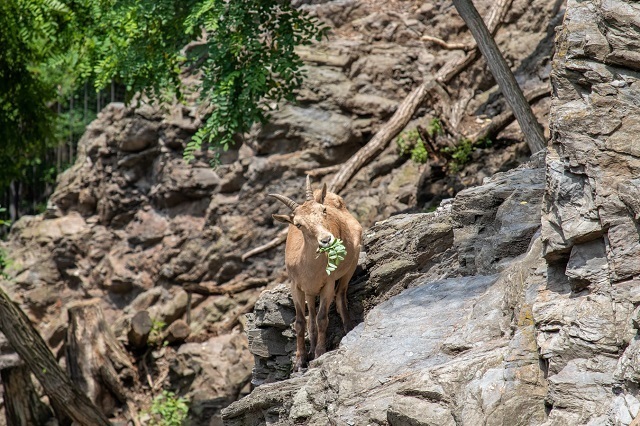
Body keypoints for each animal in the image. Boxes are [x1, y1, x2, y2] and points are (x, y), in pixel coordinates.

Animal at [268, 176, 362, 370]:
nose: (326, 240)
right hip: (310, 292)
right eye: (298, 224)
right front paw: (300, 361)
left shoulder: (328, 284)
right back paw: (310, 348)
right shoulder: (295, 286)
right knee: (310, 316)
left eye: (323, 210)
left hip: (350, 266)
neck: (308, 269)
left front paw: (319, 353)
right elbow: (300, 322)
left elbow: (322, 318)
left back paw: (348, 327)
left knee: (340, 296)